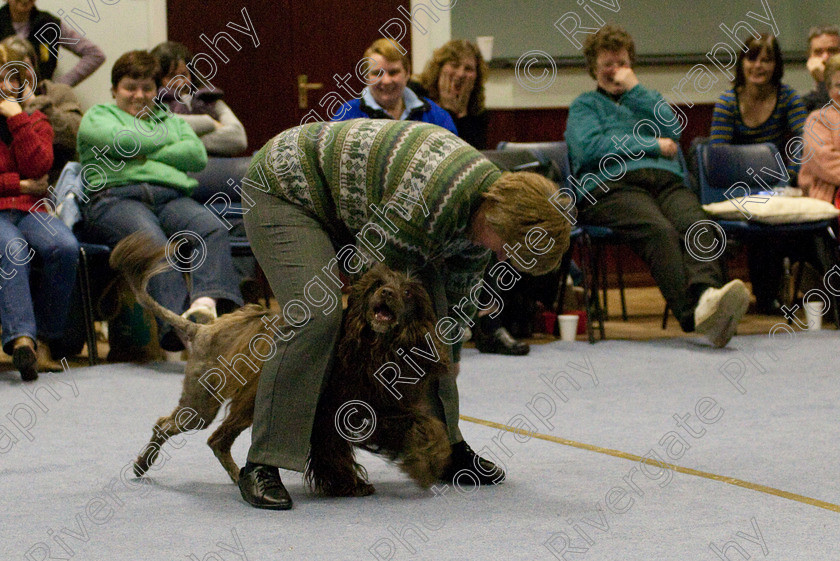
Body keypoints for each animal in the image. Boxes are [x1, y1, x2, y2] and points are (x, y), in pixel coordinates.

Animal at [113, 232, 452, 494]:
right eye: (377, 284)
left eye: (407, 291)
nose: (386, 293)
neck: (374, 348)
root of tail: (203, 330)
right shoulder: (331, 411)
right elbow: (334, 451)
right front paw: (349, 485)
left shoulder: (382, 406)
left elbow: (427, 425)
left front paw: (432, 460)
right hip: (205, 403)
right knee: (173, 427)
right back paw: (144, 464)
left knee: (215, 440)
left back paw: (238, 478)